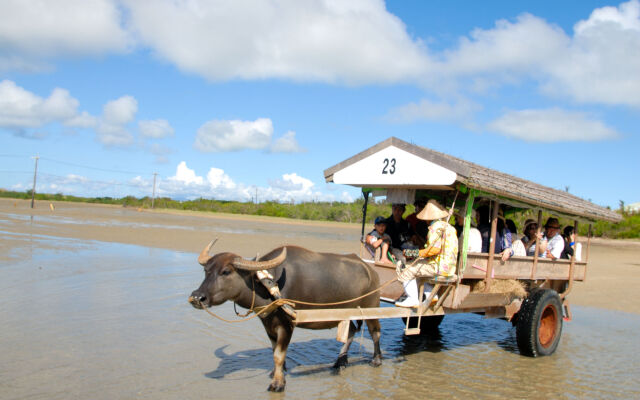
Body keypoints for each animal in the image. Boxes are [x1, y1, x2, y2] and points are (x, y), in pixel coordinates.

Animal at [188, 241, 382, 390]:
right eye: (206, 271)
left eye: (226, 272)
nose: (197, 297)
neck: (269, 286)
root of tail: (371, 271)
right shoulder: (268, 324)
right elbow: (274, 351)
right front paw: (276, 373)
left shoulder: (287, 325)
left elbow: (279, 355)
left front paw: (278, 384)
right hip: (347, 313)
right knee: (351, 332)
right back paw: (340, 362)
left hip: (371, 308)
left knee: (375, 333)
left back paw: (376, 360)